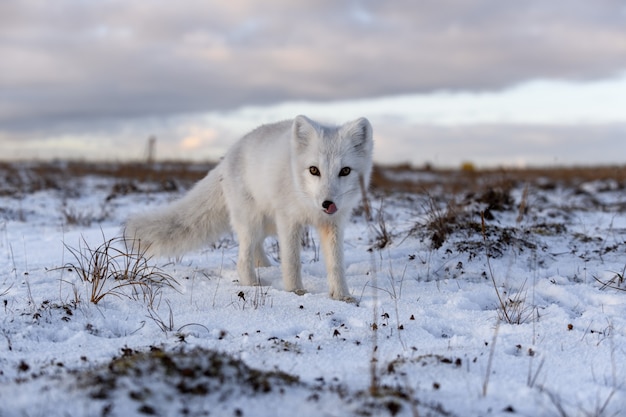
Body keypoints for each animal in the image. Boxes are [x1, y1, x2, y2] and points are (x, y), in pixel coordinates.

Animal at [124, 114, 372, 300]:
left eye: (345, 171)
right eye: (314, 170)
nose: (327, 203)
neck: (309, 205)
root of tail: (226, 156)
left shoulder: (333, 224)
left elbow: (336, 263)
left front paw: (342, 296)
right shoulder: (288, 220)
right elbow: (292, 260)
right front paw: (295, 291)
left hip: (266, 224)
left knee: (256, 247)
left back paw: (266, 267)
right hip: (252, 221)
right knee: (243, 257)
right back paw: (253, 283)